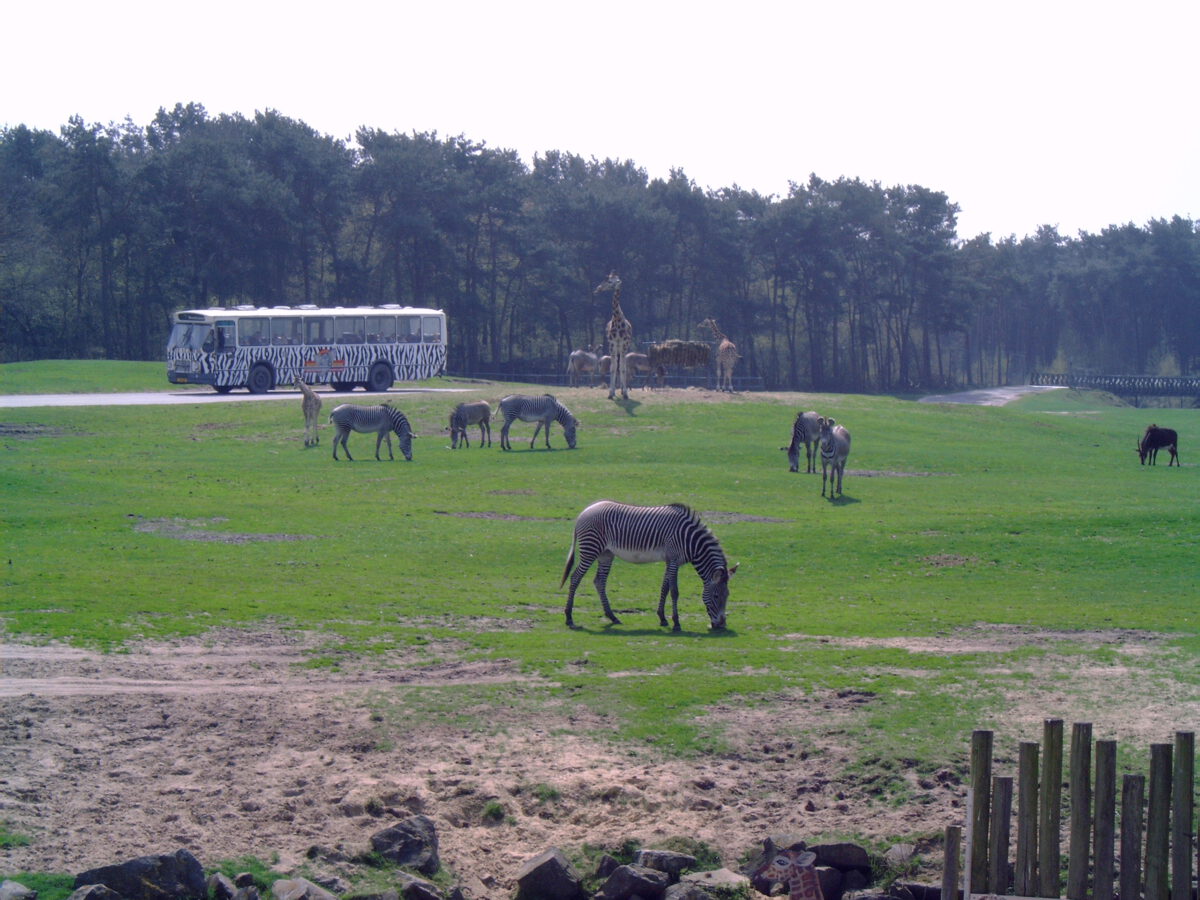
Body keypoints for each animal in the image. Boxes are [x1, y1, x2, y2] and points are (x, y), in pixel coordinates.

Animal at [556, 501, 734, 633]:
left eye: (727, 595)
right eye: (716, 596)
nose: (721, 625)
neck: (690, 540)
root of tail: (583, 513)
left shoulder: (669, 561)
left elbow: (665, 588)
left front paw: (662, 618)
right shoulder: (674, 560)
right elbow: (674, 591)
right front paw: (676, 623)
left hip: (606, 553)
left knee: (599, 581)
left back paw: (612, 616)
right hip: (590, 549)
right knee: (575, 577)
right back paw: (569, 617)